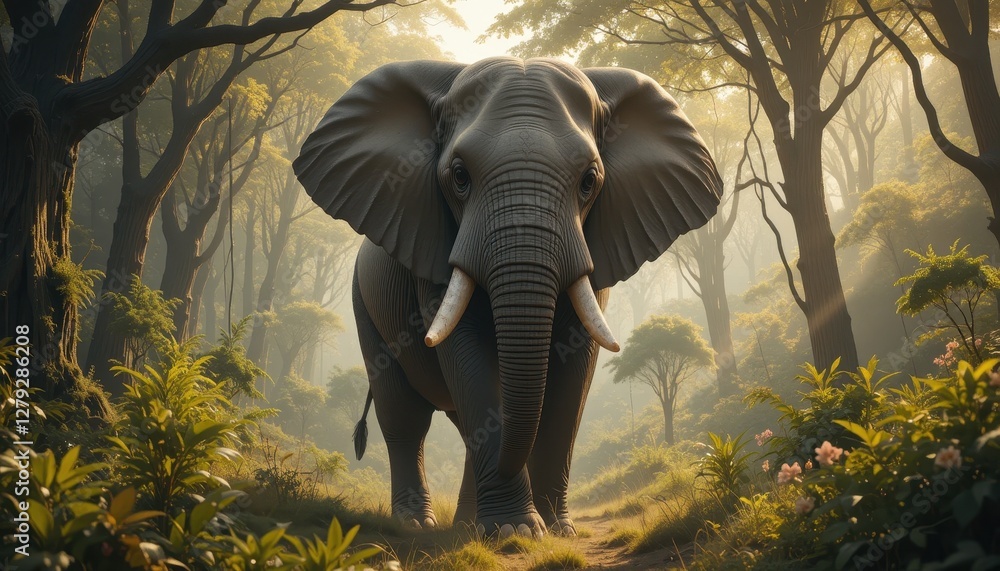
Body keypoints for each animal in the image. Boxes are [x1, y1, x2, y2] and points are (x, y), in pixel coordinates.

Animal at [293, 57, 722, 539]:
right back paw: (419, 524)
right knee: (403, 415)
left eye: (589, 181)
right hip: (363, 302)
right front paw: (515, 532)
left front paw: (554, 531)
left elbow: (574, 373)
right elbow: (468, 358)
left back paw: (465, 526)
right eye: (459, 177)